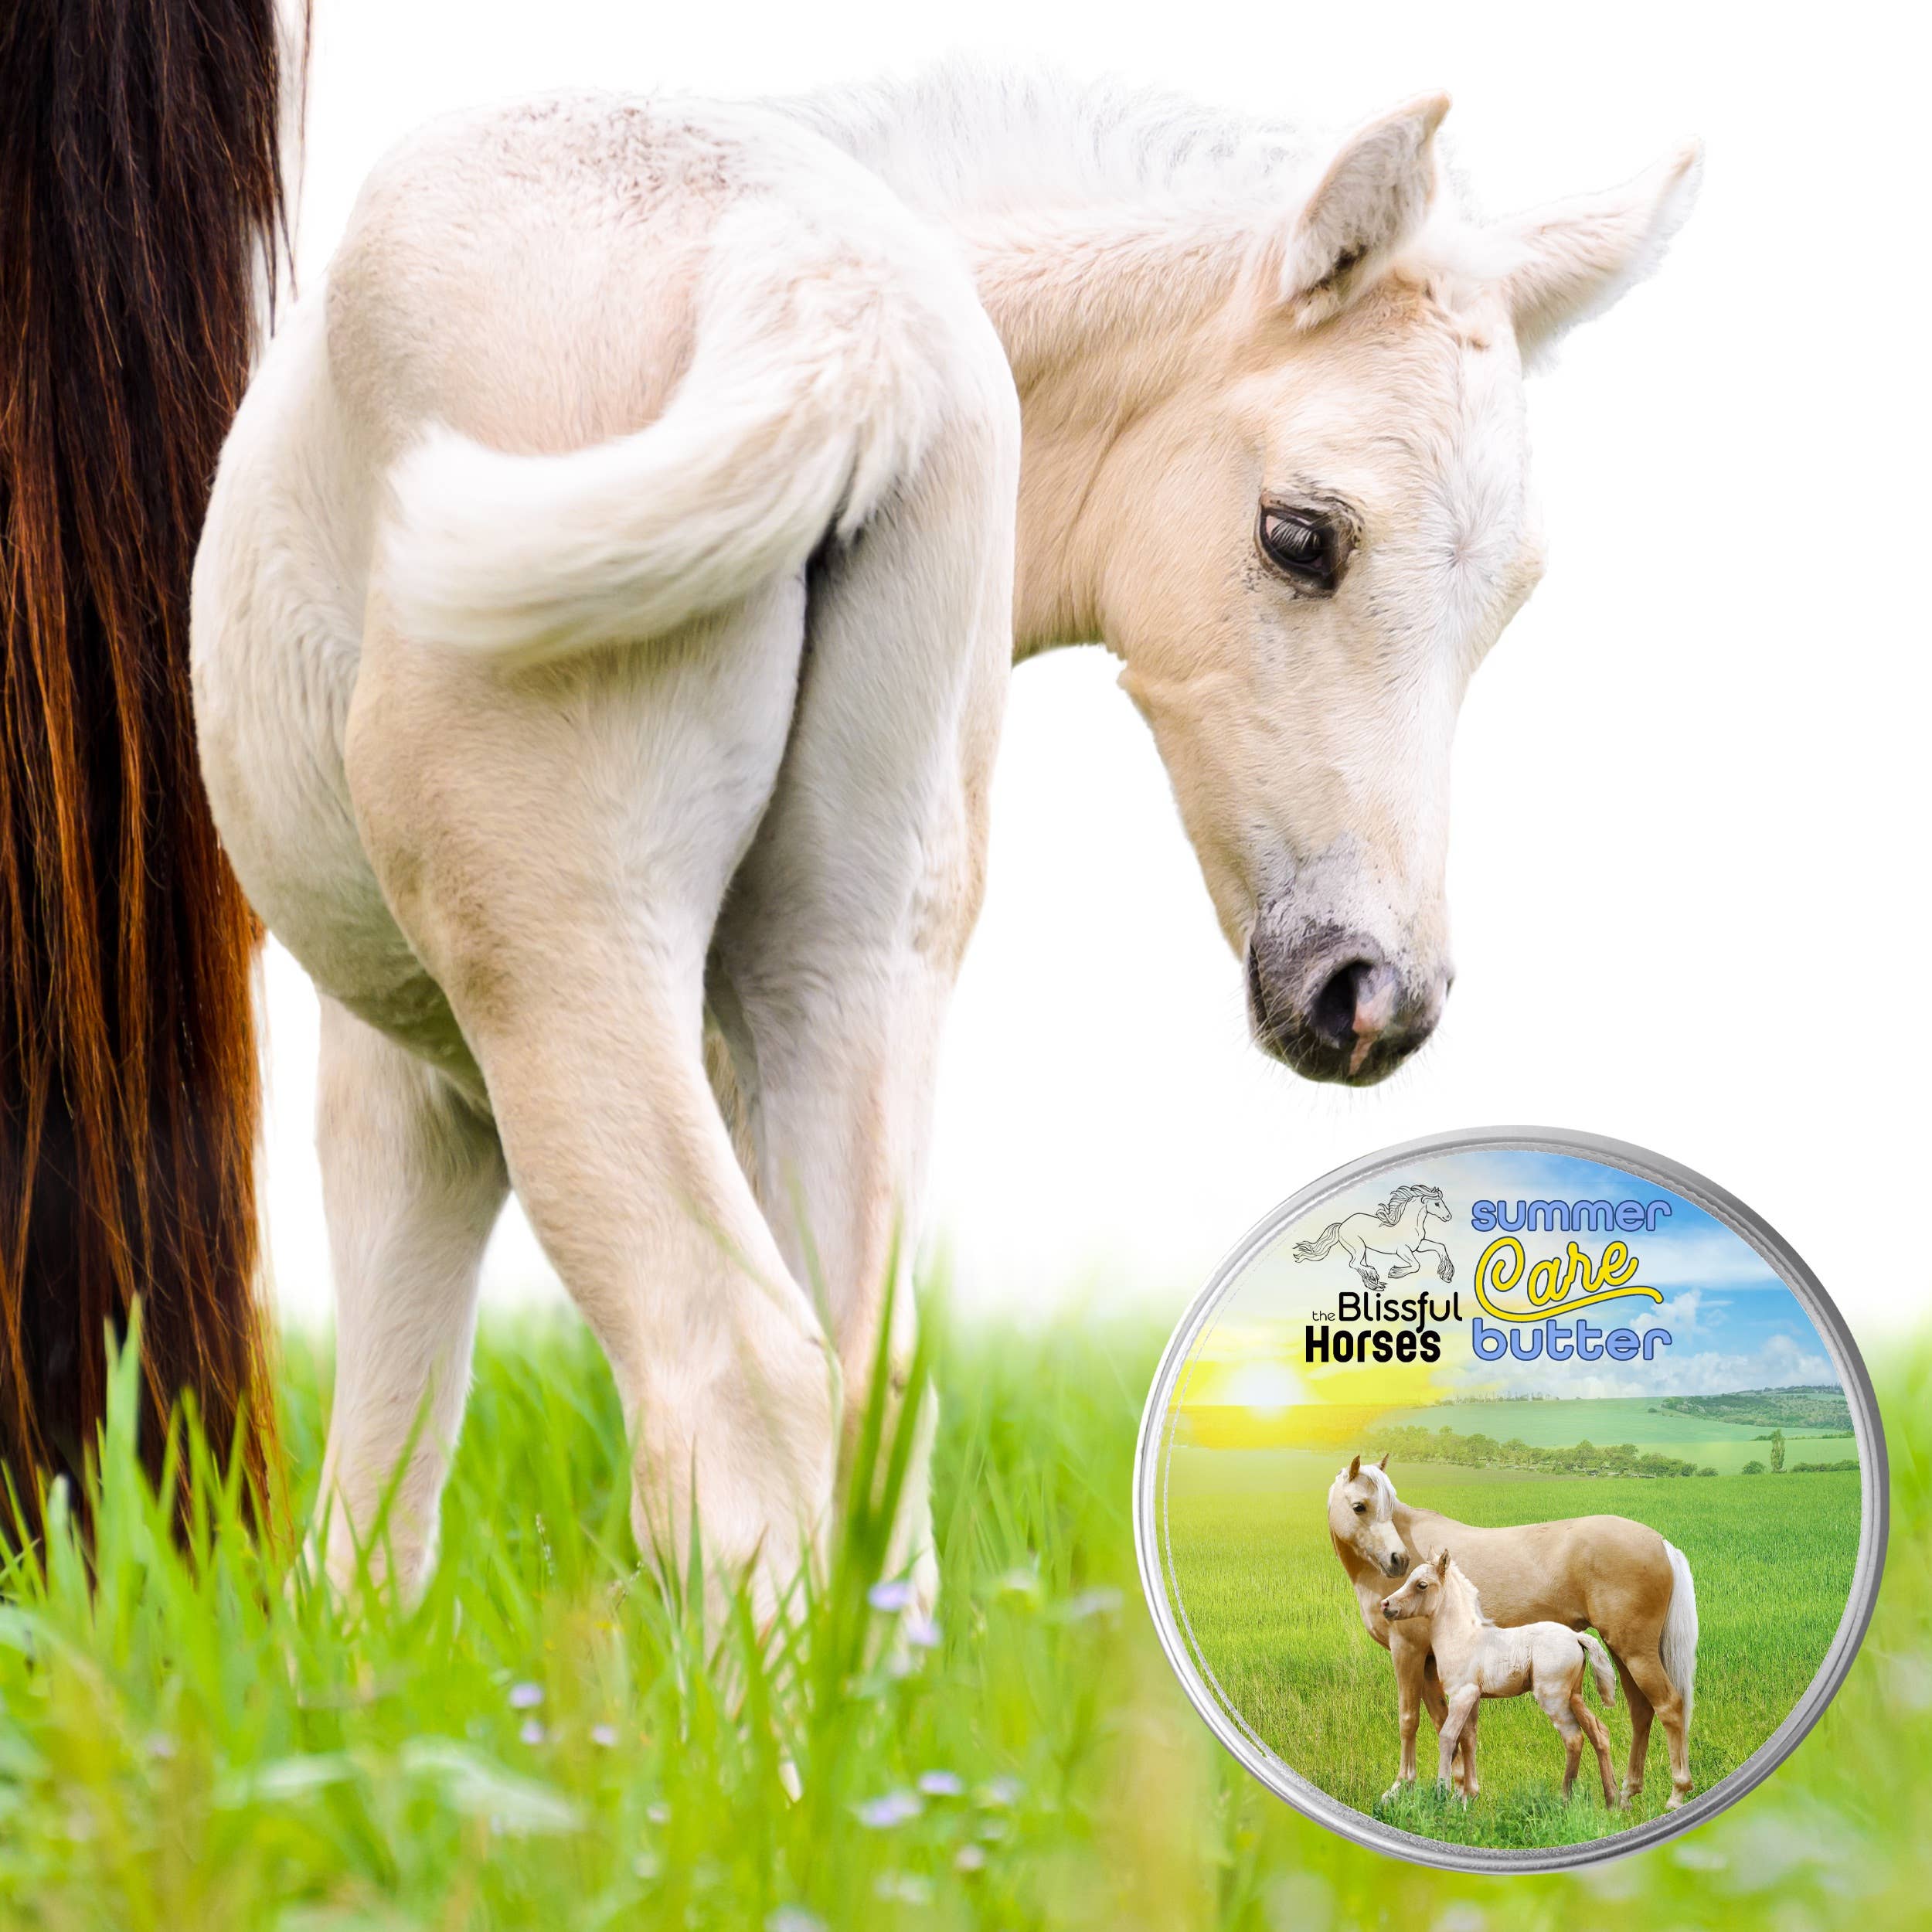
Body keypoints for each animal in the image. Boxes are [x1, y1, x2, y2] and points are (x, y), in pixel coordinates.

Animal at [1292, 1184, 1454, 1287]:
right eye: (1437, 1204)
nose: (1448, 1216)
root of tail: (1341, 1225)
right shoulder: (1403, 1250)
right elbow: (1416, 1265)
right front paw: (1394, 1272)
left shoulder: (1418, 1246)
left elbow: (1441, 1247)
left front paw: (1446, 1275)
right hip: (1358, 1248)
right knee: (1354, 1264)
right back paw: (1374, 1275)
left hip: (1361, 1251)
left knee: (1359, 1264)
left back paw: (1376, 1284)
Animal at [1382, 1547, 1621, 1807]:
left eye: (1422, 1585)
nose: (1385, 1605)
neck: (1463, 1638)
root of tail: (1576, 1636)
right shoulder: (1473, 1697)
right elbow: (1468, 1738)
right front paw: (1469, 1795)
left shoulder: (1461, 1694)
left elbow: (1448, 1736)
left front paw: (1442, 1793)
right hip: (1574, 1695)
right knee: (1599, 1732)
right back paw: (1614, 1800)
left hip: (1553, 1698)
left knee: (1574, 1738)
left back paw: (1565, 1799)